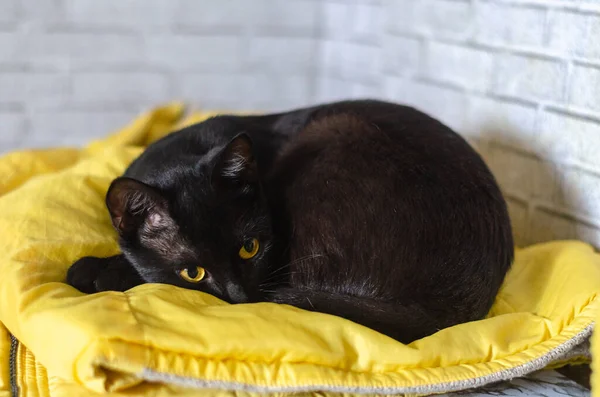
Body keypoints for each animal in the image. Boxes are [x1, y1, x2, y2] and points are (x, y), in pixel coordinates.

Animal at [68, 100, 512, 344]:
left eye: (250, 248)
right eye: (194, 273)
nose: (240, 301)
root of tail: (446, 311)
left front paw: (96, 271)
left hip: (337, 130)